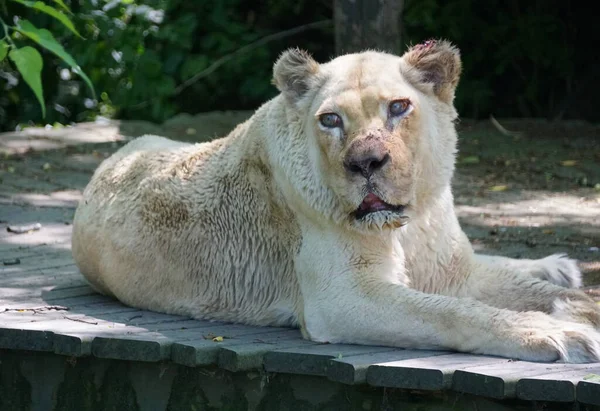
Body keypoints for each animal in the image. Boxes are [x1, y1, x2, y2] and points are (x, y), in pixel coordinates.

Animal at [74, 40, 600, 364]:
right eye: (330, 120)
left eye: (398, 107)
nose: (366, 163)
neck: (409, 225)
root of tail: (113, 157)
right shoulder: (342, 296)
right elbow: (450, 312)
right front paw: (558, 333)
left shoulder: (453, 272)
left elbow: (539, 294)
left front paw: (571, 303)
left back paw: (556, 266)